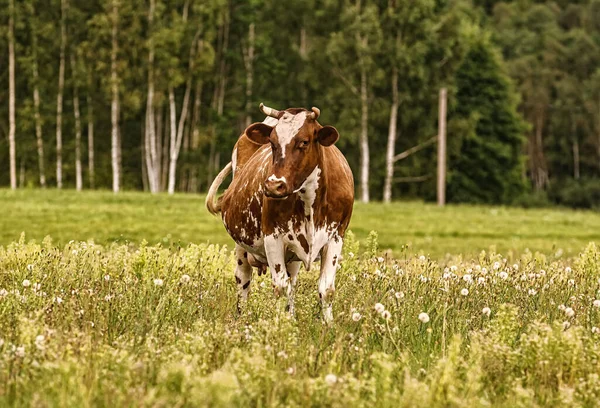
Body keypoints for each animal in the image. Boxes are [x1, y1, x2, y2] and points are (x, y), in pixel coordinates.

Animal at [207, 103, 354, 322]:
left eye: (304, 142)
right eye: (272, 143)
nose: (274, 185)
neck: (309, 203)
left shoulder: (335, 237)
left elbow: (326, 289)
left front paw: (328, 325)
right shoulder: (273, 237)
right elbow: (280, 287)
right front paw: (281, 326)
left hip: (292, 256)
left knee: (292, 282)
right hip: (241, 245)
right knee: (243, 279)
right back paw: (242, 318)